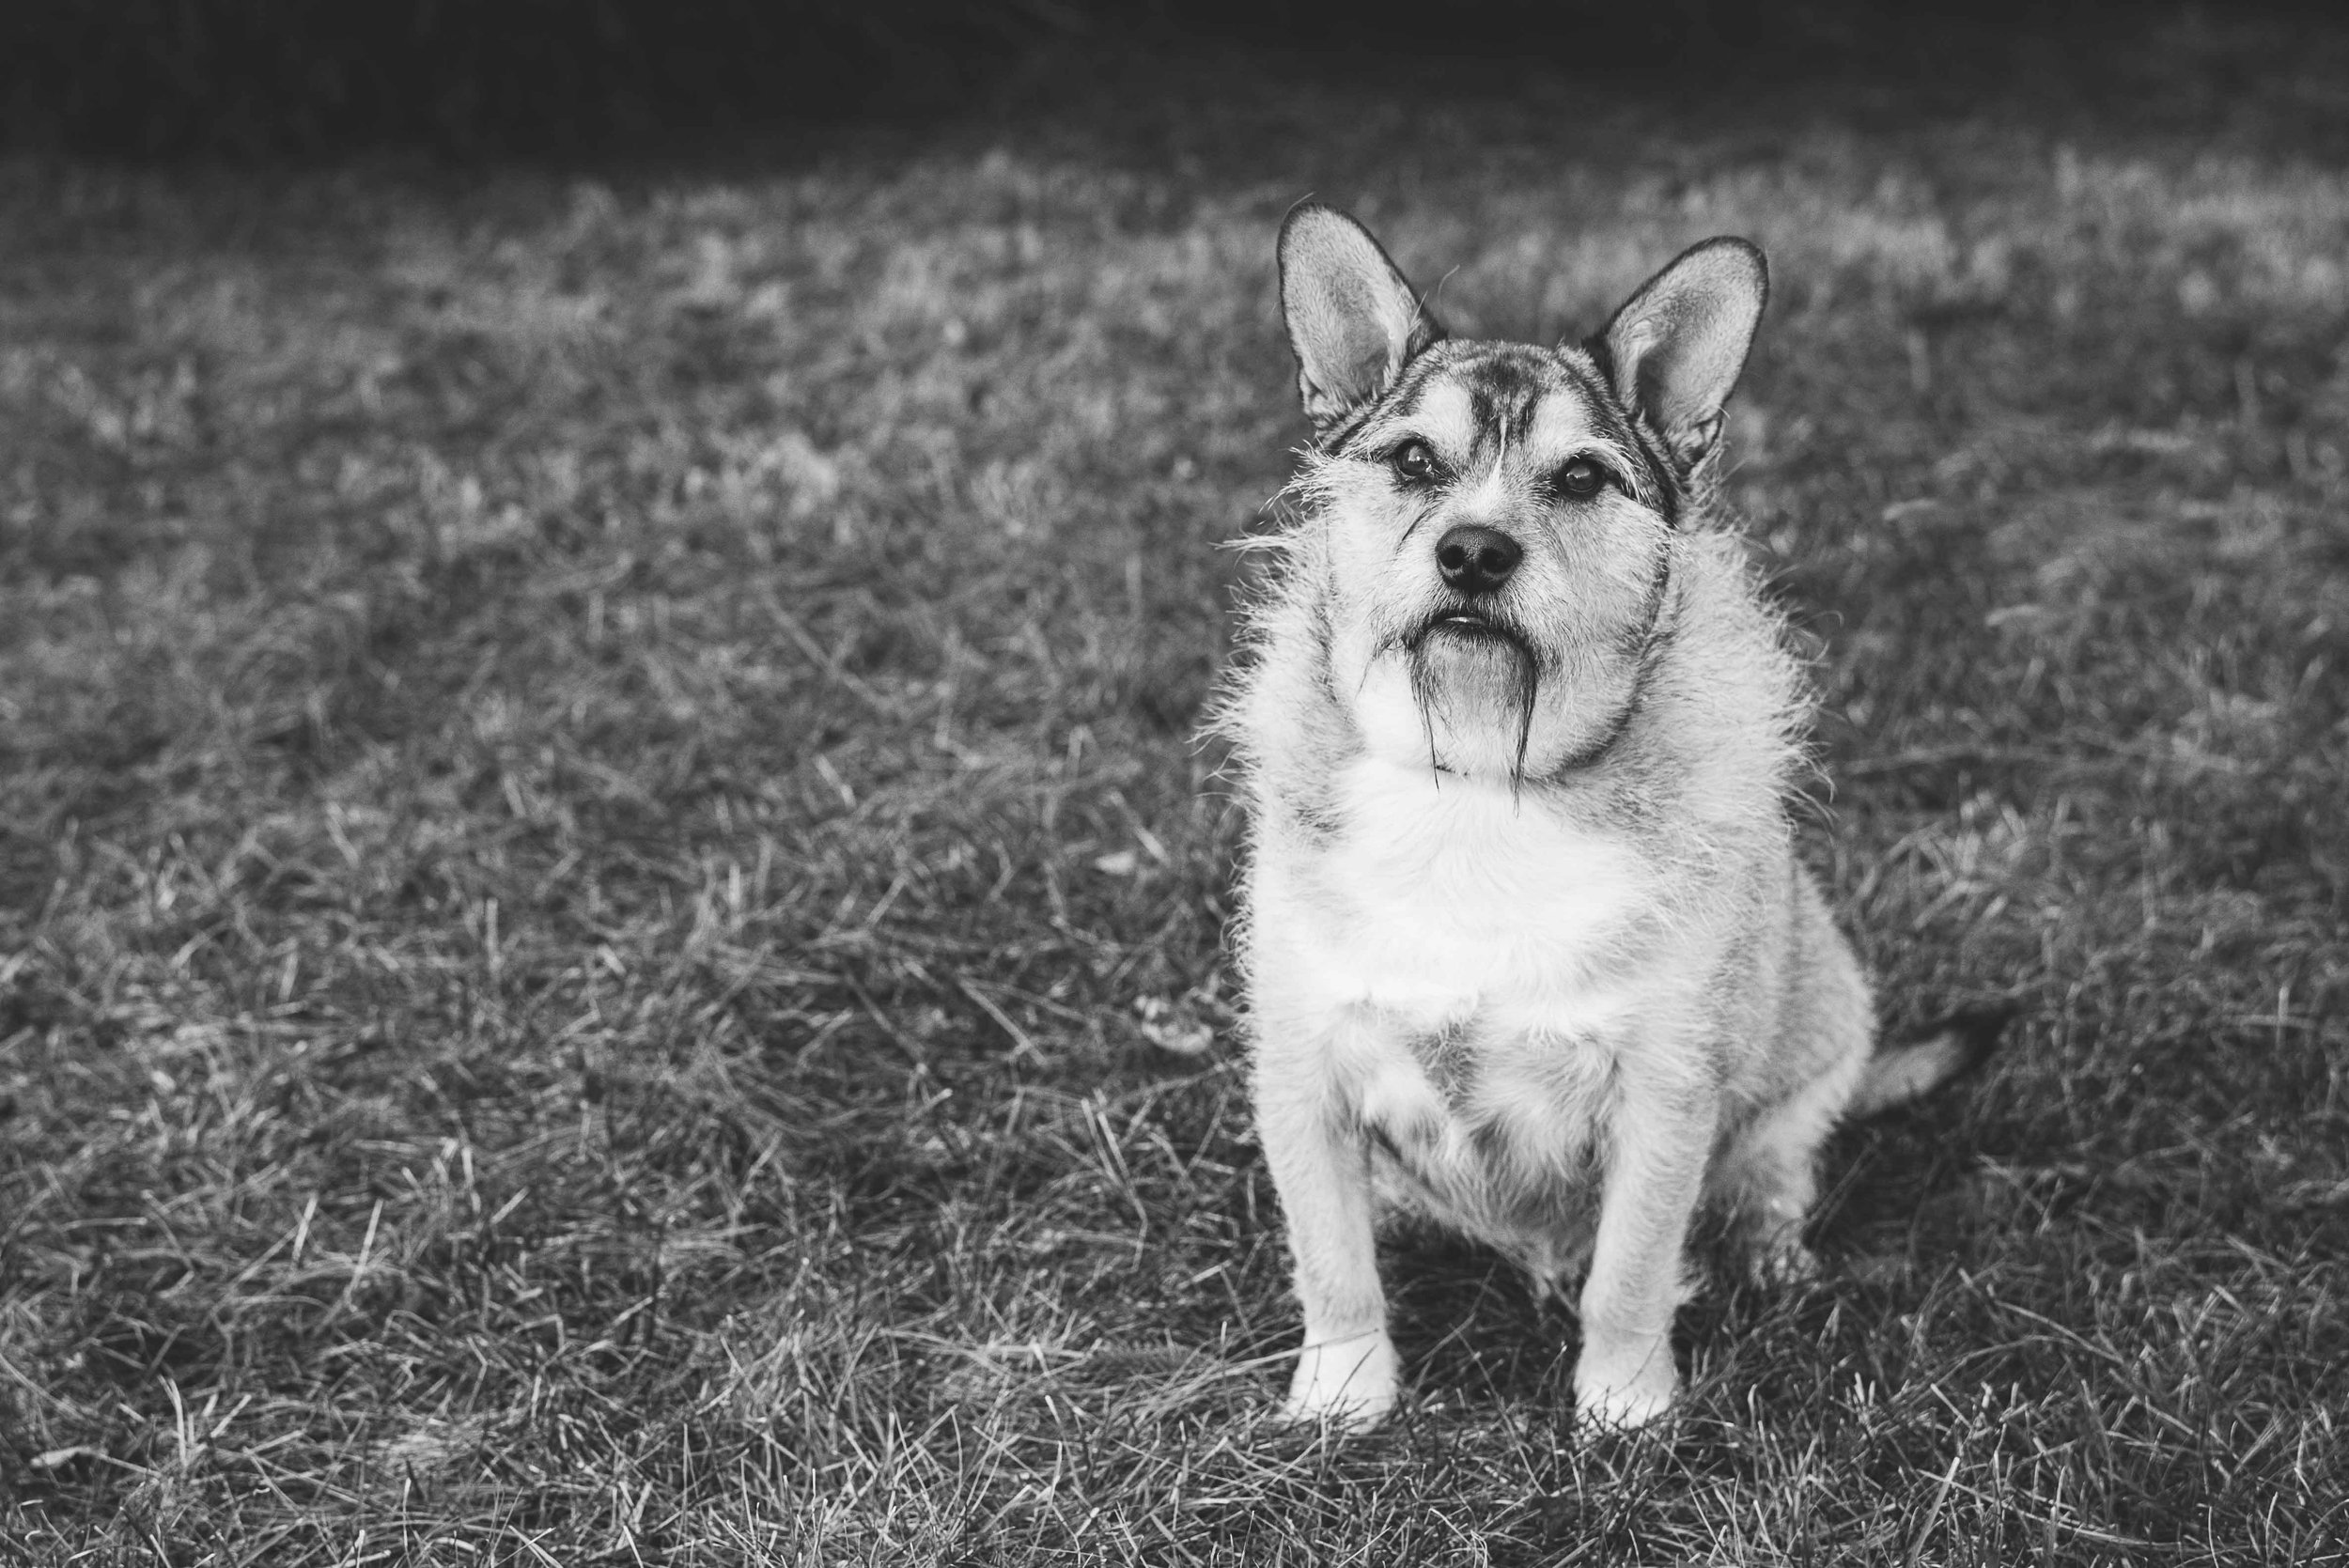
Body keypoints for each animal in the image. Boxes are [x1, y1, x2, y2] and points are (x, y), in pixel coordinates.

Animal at [1212, 205, 2001, 1436]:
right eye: (1412, 462)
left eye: (1581, 477)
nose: (1473, 551)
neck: (1479, 784)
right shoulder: (1303, 1068)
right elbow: (1331, 1255)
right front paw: (1344, 1389)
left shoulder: (1662, 1090)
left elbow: (1631, 1266)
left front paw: (1624, 1403)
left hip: (1814, 1046)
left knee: (1773, 1175)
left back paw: (1774, 1257)